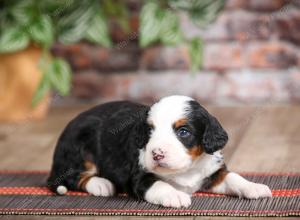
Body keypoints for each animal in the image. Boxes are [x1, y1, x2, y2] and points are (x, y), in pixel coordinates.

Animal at [47, 95, 272, 207]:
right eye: (150, 131)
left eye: (183, 132)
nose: (157, 154)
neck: (185, 170)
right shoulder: (138, 177)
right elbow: (159, 184)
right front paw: (175, 196)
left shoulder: (212, 171)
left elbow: (233, 177)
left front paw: (254, 187)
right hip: (76, 149)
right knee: (74, 176)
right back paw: (101, 184)